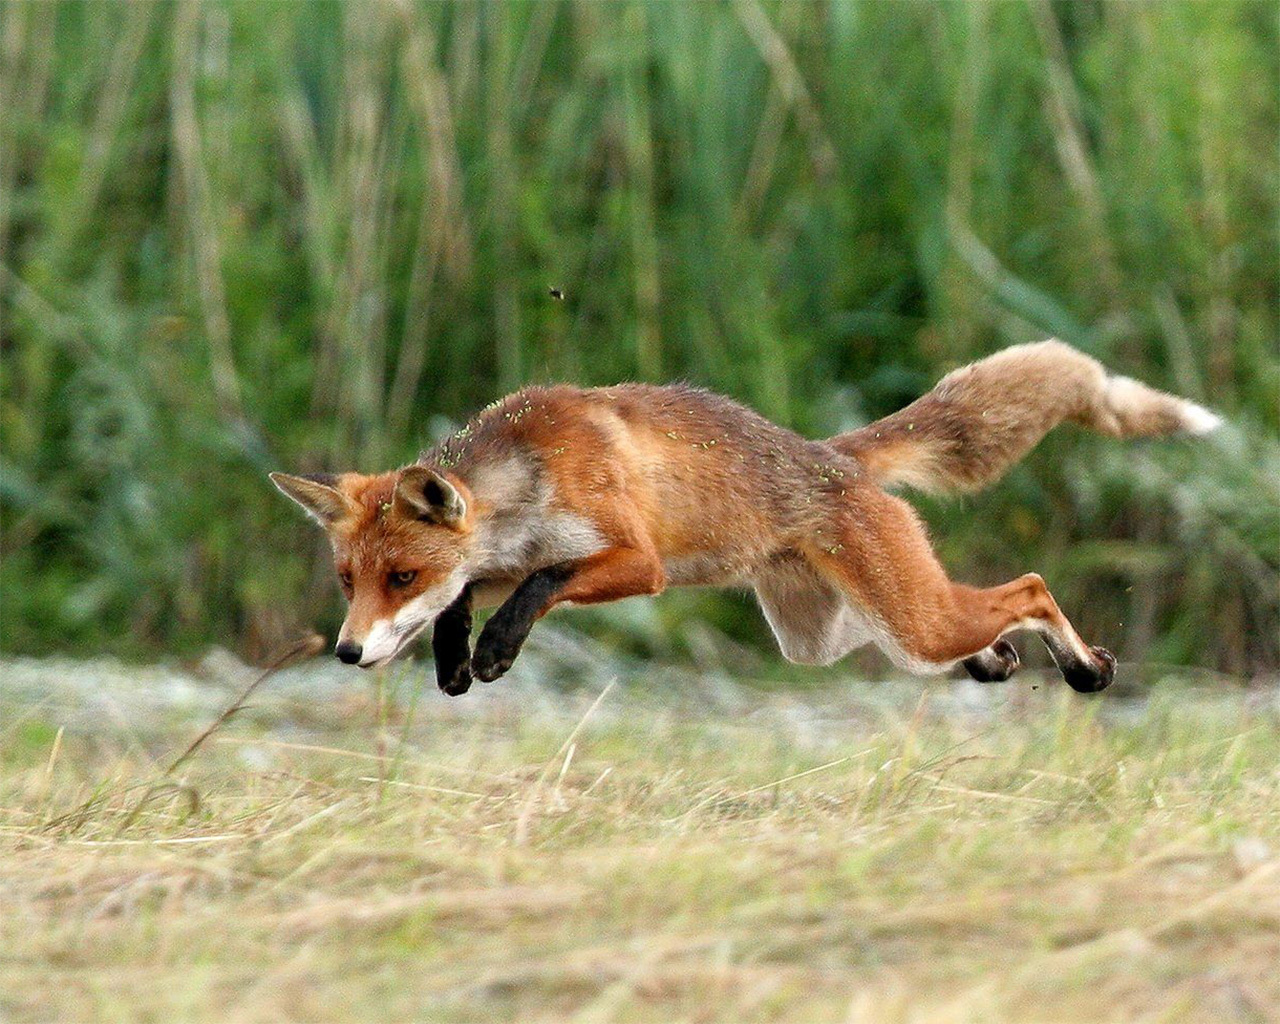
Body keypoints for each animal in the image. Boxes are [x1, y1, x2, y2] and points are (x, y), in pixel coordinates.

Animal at [271, 340, 1221, 696]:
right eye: (350, 581)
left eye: (402, 575)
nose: (347, 650)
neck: (527, 478)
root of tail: (834, 454)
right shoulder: (496, 556)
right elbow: (474, 594)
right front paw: (454, 656)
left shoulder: (635, 559)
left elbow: (544, 582)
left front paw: (498, 646)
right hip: (830, 638)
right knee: (986, 620)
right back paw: (1001, 660)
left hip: (909, 621)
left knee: (1026, 585)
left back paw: (1086, 666)